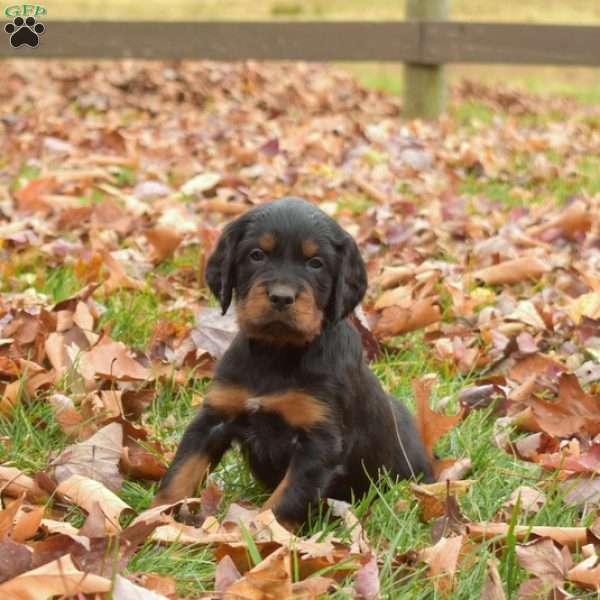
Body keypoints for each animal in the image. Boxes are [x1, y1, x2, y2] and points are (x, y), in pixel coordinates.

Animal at [152, 199, 434, 524]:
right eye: (256, 255)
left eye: (316, 263)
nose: (281, 297)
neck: (277, 354)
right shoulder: (214, 417)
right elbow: (180, 473)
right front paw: (151, 519)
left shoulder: (319, 443)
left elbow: (285, 501)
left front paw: (258, 533)